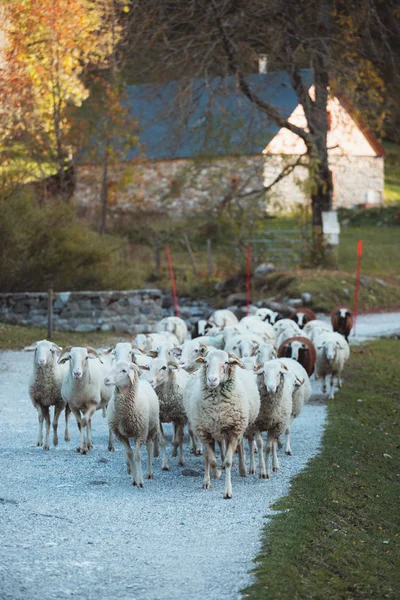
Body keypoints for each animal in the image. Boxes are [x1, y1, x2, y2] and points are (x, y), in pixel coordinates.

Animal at [104, 360, 159, 488]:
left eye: (124, 370)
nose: (106, 380)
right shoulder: (120, 435)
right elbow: (129, 454)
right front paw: (134, 479)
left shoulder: (141, 434)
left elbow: (137, 456)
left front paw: (140, 481)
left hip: (151, 429)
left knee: (149, 448)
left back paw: (149, 473)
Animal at [184, 350, 260, 500]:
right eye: (206, 362)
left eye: (225, 362)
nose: (212, 380)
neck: (217, 406)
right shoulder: (205, 431)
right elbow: (212, 460)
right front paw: (216, 474)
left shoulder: (234, 431)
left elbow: (229, 461)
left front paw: (228, 491)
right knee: (208, 456)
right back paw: (207, 480)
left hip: (238, 428)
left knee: (240, 447)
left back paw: (242, 470)